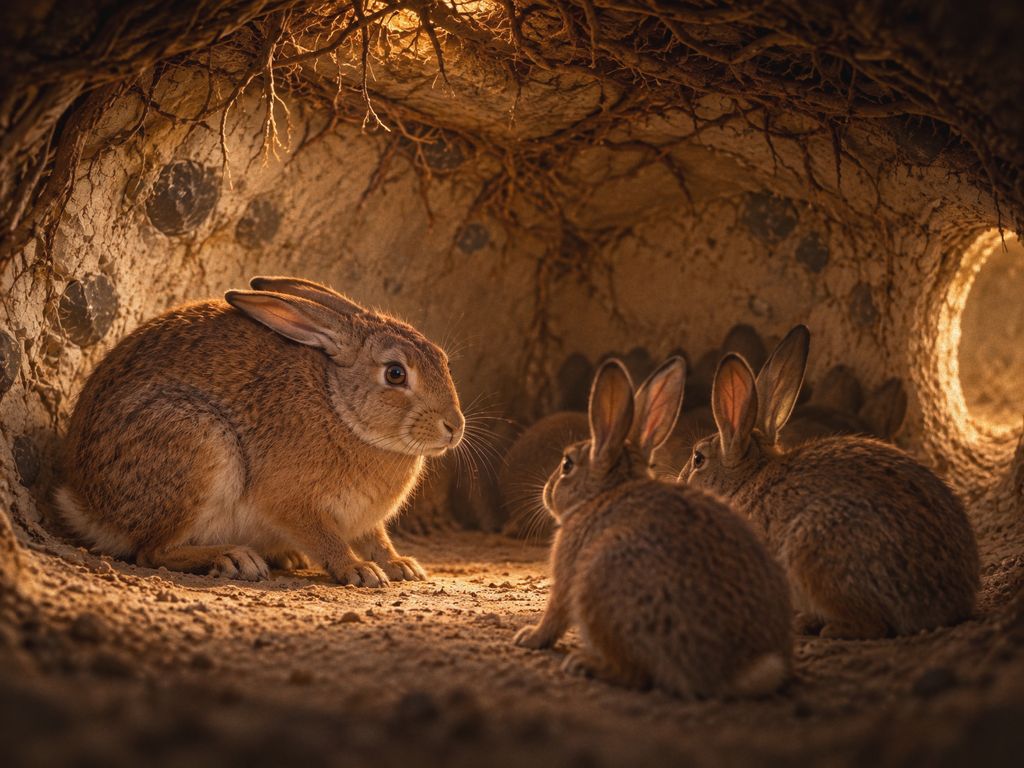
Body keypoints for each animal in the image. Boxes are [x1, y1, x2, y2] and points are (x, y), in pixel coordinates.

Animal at [55, 275, 465, 586]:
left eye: (443, 360)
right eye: (395, 374)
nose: (454, 427)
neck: (342, 409)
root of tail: (87, 504)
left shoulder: (367, 522)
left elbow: (377, 539)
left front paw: (402, 566)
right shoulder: (294, 505)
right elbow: (327, 540)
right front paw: (359, 571)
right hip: (199, 444)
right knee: (151, 550)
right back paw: (235, 559)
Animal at [514, 358, 793, 699]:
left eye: (567, 465)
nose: (547, 491)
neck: (602, 493)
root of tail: (737, 671)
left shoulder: (568, 574)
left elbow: (555, 614)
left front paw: (529, 637)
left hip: (600, 585)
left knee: (635, 675)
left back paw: (584, 664)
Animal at [681, 325, 979, 639]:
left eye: (698, 459)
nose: (679, 482)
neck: (744, 481)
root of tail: (946, 603)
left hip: (815, 552)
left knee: (872, 623)